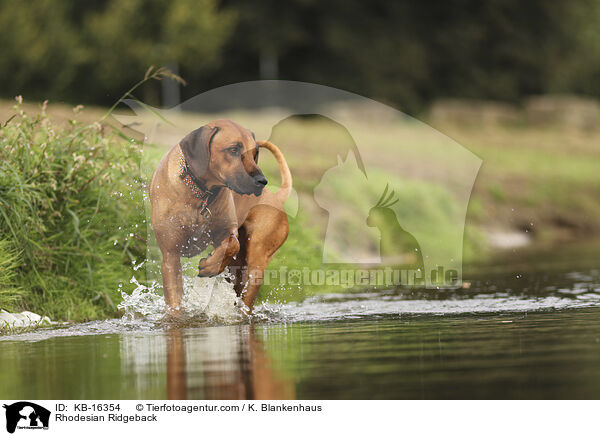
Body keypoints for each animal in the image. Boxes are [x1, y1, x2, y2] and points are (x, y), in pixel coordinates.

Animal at [149, 118, 292, 314]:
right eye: (233, 150)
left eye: (255, 153)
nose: (262, 181)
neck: (200, 193)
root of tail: (277, 197)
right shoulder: (171, 255)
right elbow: (175, 302)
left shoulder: (227, 230)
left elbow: (233, 243)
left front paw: (210, 266)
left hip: (256, 261)